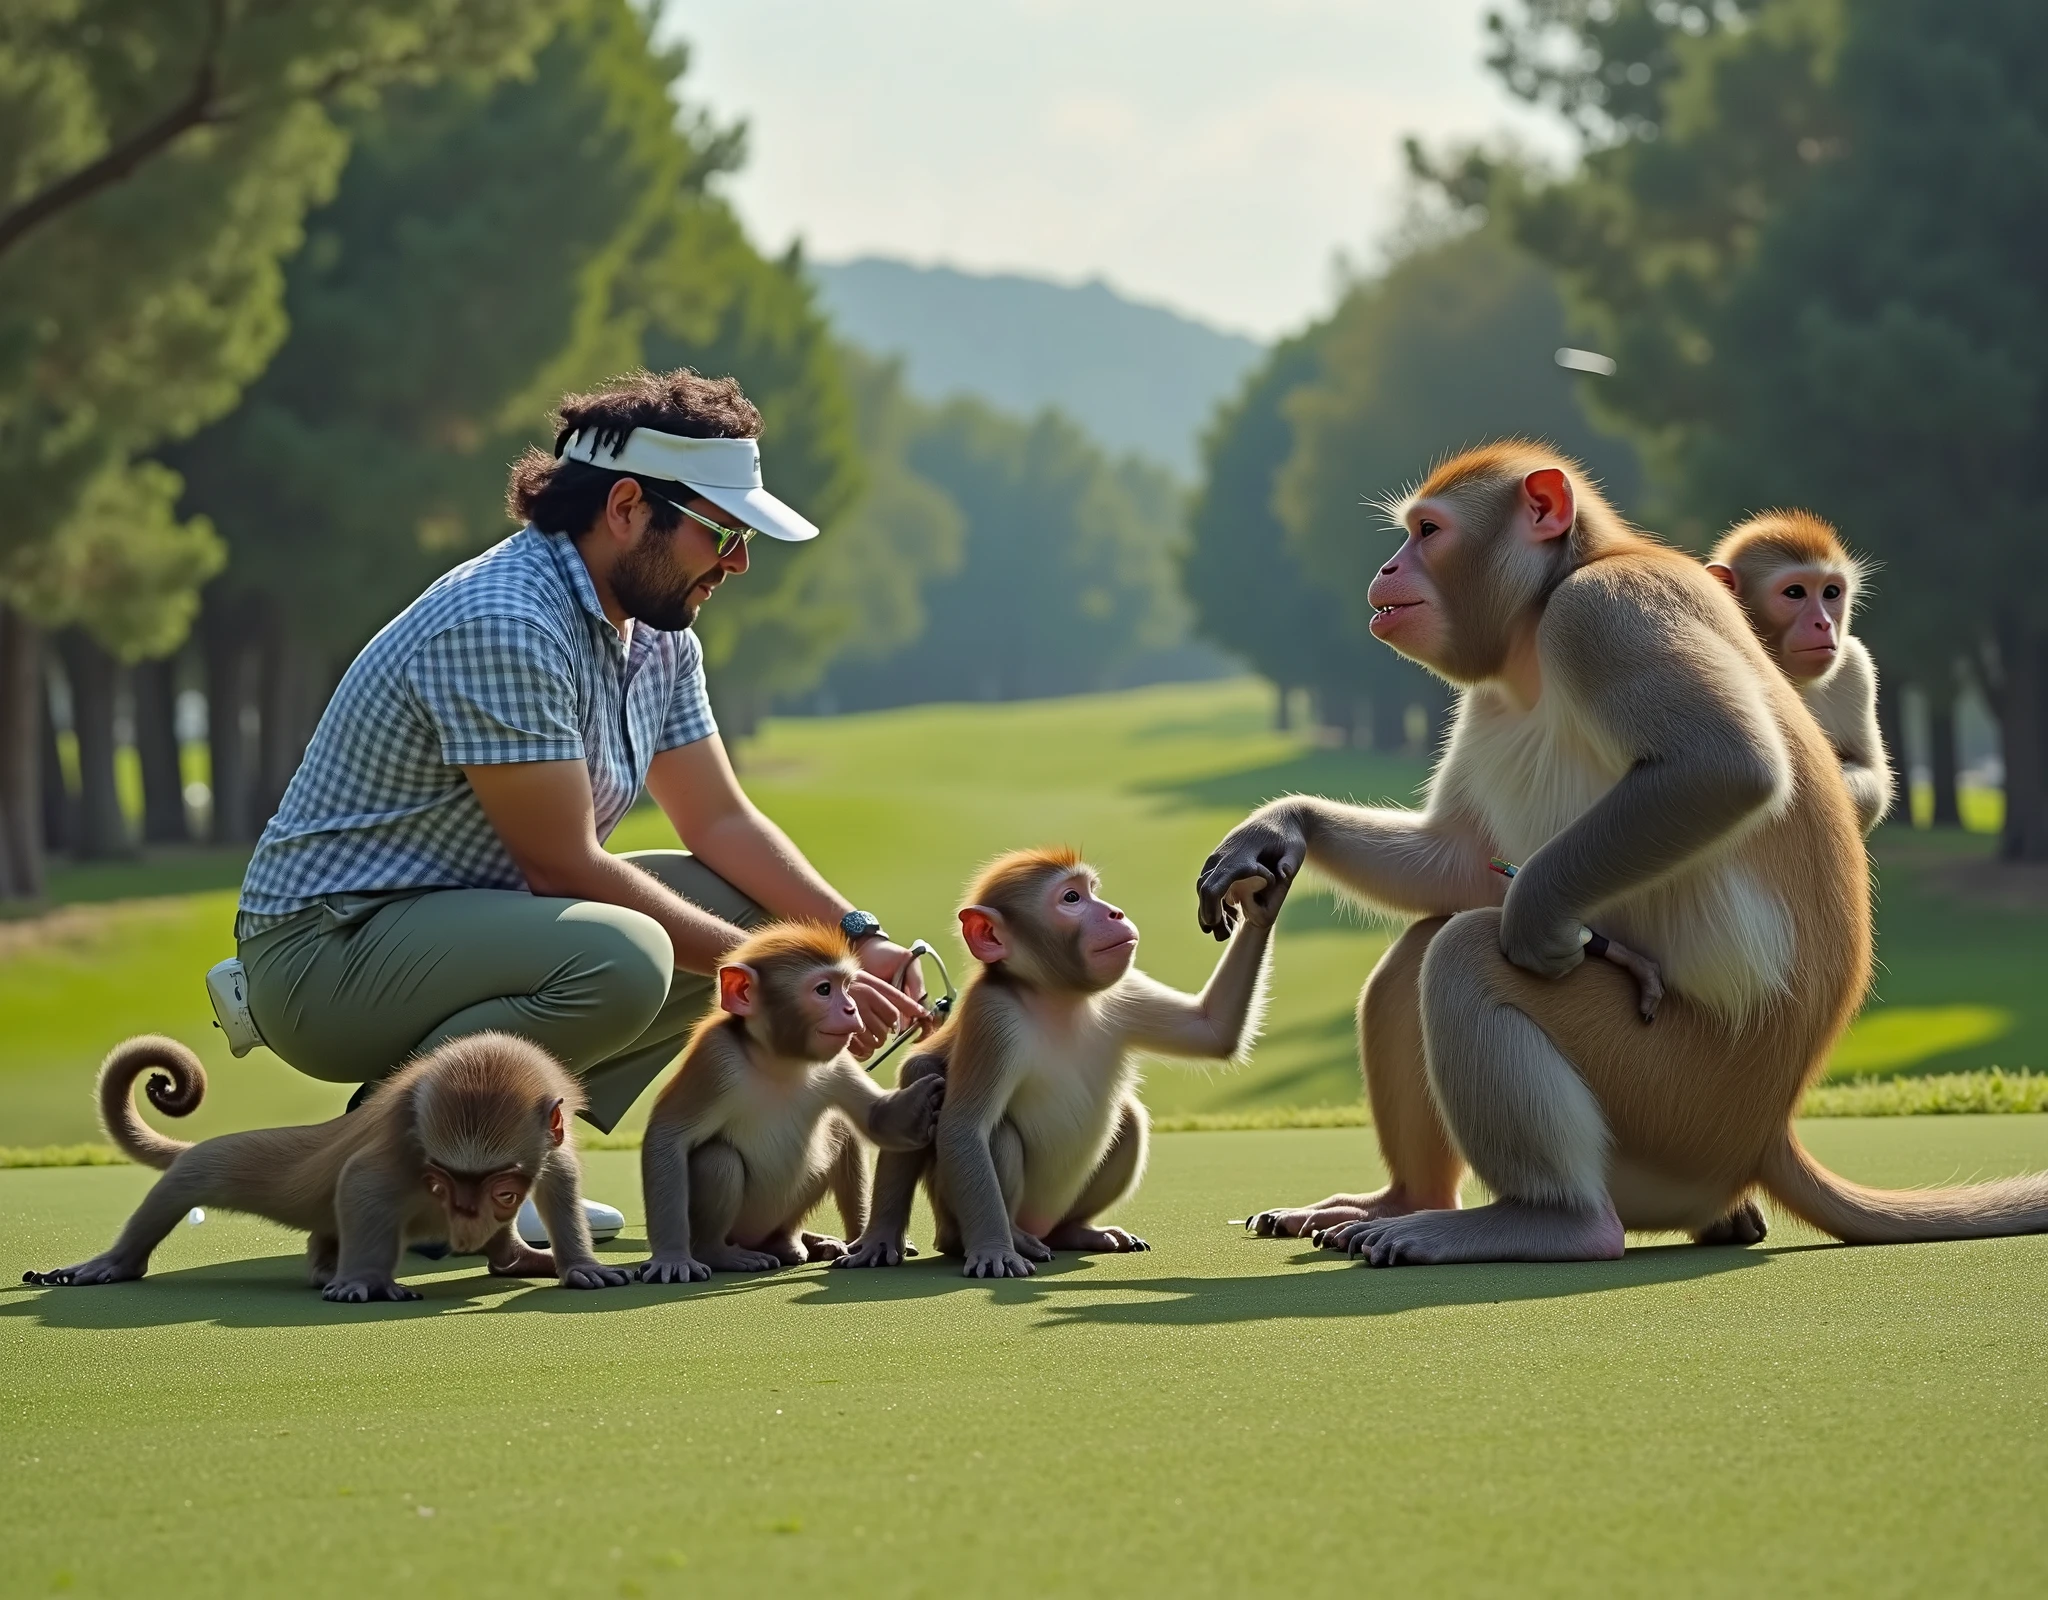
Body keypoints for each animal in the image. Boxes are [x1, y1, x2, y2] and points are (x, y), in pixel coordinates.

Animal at [22, 1024, 630, 1294]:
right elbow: (363, 1183)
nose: (465, 1228)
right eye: (440, 1185)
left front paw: (579, 1264)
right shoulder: (406, 1140)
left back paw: (509, 1257)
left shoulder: (546, 1146)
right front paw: (364, 1281)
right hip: (294, 1178)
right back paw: (121, 1261)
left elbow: (558, 1184)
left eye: (503, 1193)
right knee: (198, 1172)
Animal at [630, 917, 942, 1278]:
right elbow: (667, 1138)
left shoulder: (836, 1062)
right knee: (719, 1160)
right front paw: (672, 1258)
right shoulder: (715, 1057)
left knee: (839, 1135)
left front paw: (919, 1103)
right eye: (824, 990)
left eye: (847, 987)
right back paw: (718, 1253)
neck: (780, 1061)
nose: (851, 1008)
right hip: (740, 1226)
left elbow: (874, 1118)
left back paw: (807, 1242)